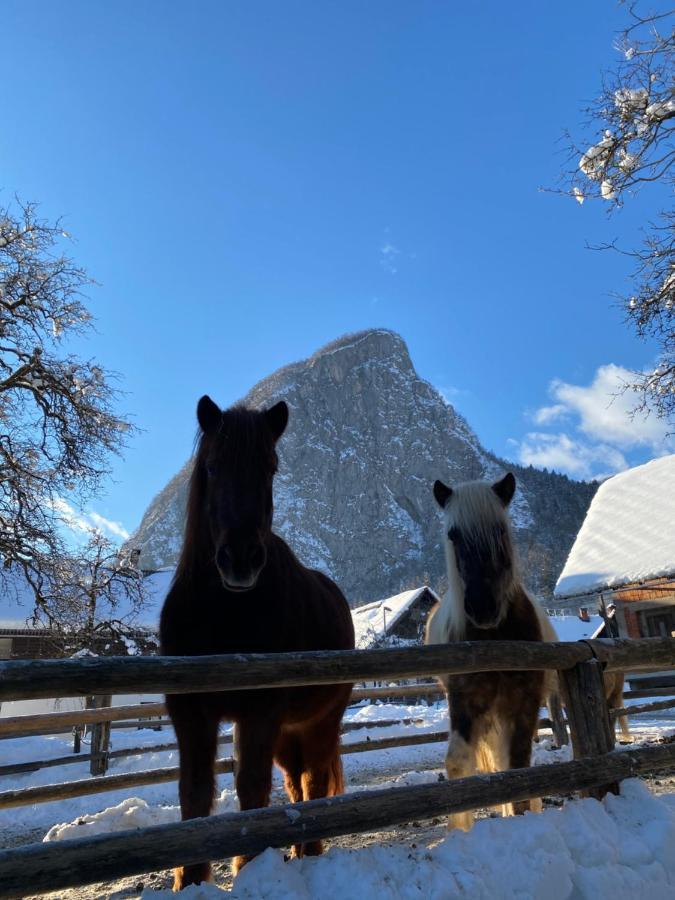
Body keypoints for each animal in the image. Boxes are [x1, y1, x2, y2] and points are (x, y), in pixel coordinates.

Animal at [161, 400, 356, 884]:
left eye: (271, 467)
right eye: (212, 466)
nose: (241, 560)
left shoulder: (259, 712)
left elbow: (250, 788)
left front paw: (247, 866)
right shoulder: (189, 713)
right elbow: (194, 790)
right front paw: (190, 878)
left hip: (320, 721)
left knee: (314, 781)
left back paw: (310, 850)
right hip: (288, 733)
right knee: (295, 782)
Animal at [426, 472, 552, 828]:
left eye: (499, 529)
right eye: (453, 535)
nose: (482, 607)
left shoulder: (525, 698)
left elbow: (519, 764)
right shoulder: (464, 699)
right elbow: (458, 762)